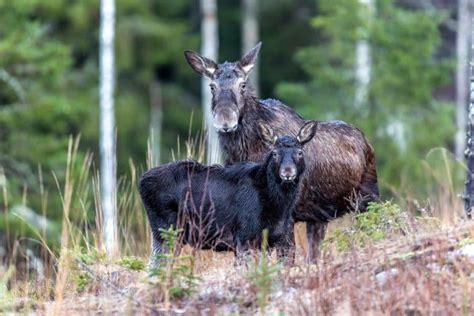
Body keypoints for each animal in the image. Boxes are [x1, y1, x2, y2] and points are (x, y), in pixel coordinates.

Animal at [183, 42, 380, 262]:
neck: (243, 150)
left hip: (368, 198)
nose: (225, 121)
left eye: (243, 85)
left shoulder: (288, 214)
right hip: (319, 216)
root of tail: (367, 142)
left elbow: (286, 256)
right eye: (212, 86)